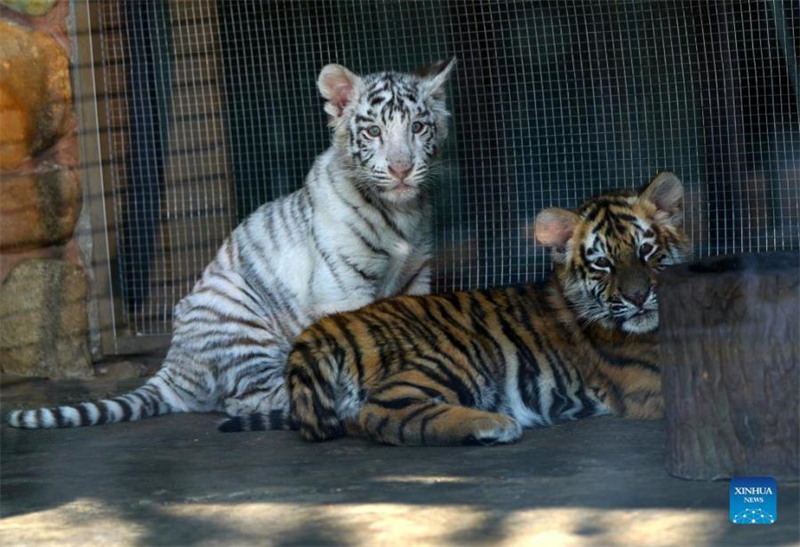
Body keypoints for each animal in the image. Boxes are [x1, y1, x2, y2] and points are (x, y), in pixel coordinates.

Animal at [8, 58, 456, 429]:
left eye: (417, 127)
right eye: (374, 131)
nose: (400, 170)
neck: (401, 211)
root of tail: (173, 365)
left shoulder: (415, 276)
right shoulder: (343, 286)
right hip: (240, 319)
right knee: (246, 398)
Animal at [220, 171, 690, 445]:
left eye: (647, 252)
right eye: (602, 263)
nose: (637, 297)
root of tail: (326, 327)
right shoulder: (649, 383)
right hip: (455, 358)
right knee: (383, 412)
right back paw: (493, 424)